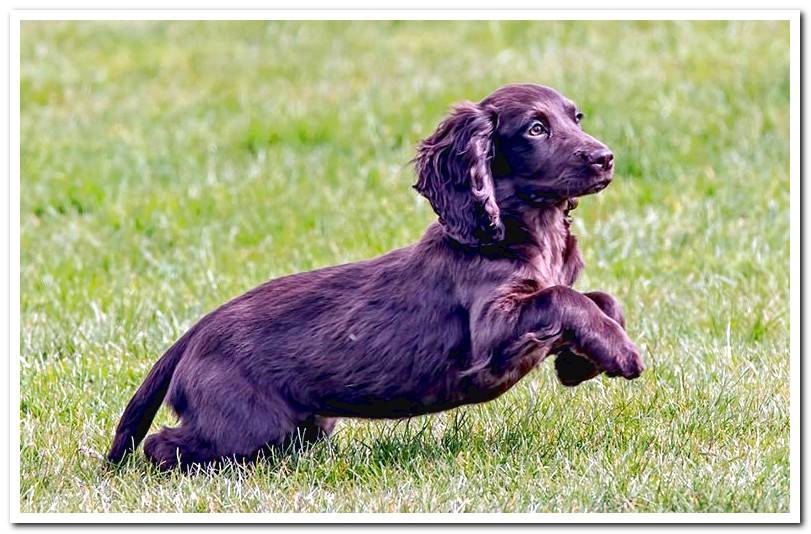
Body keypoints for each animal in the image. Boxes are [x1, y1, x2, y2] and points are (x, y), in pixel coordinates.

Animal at [108, 81, 644, 472]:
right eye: (535, 129)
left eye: (576, 118)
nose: (606, 158)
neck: (524, 230)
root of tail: (193, 334)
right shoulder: (492, 330)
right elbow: (565, 299)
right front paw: (622, 354)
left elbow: (602, 298)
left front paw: (579, 363)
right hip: (246, 424)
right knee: (164, 446)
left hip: (305, 423)